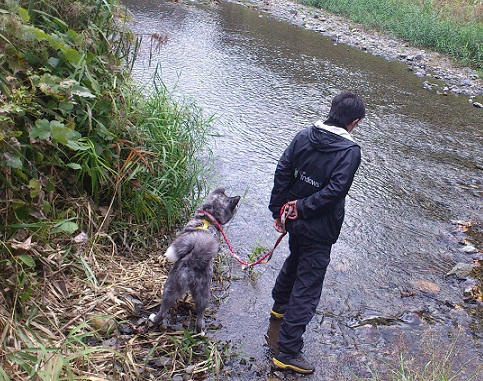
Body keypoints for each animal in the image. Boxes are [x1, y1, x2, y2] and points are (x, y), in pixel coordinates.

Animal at [149, 187, 240, 332]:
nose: (237, 207)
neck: (209, 217)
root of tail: (194, 260)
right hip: (200, 293)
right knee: (198, 315)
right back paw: (199, 330)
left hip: (171, 284)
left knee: (163, 311)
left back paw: (153, 319)